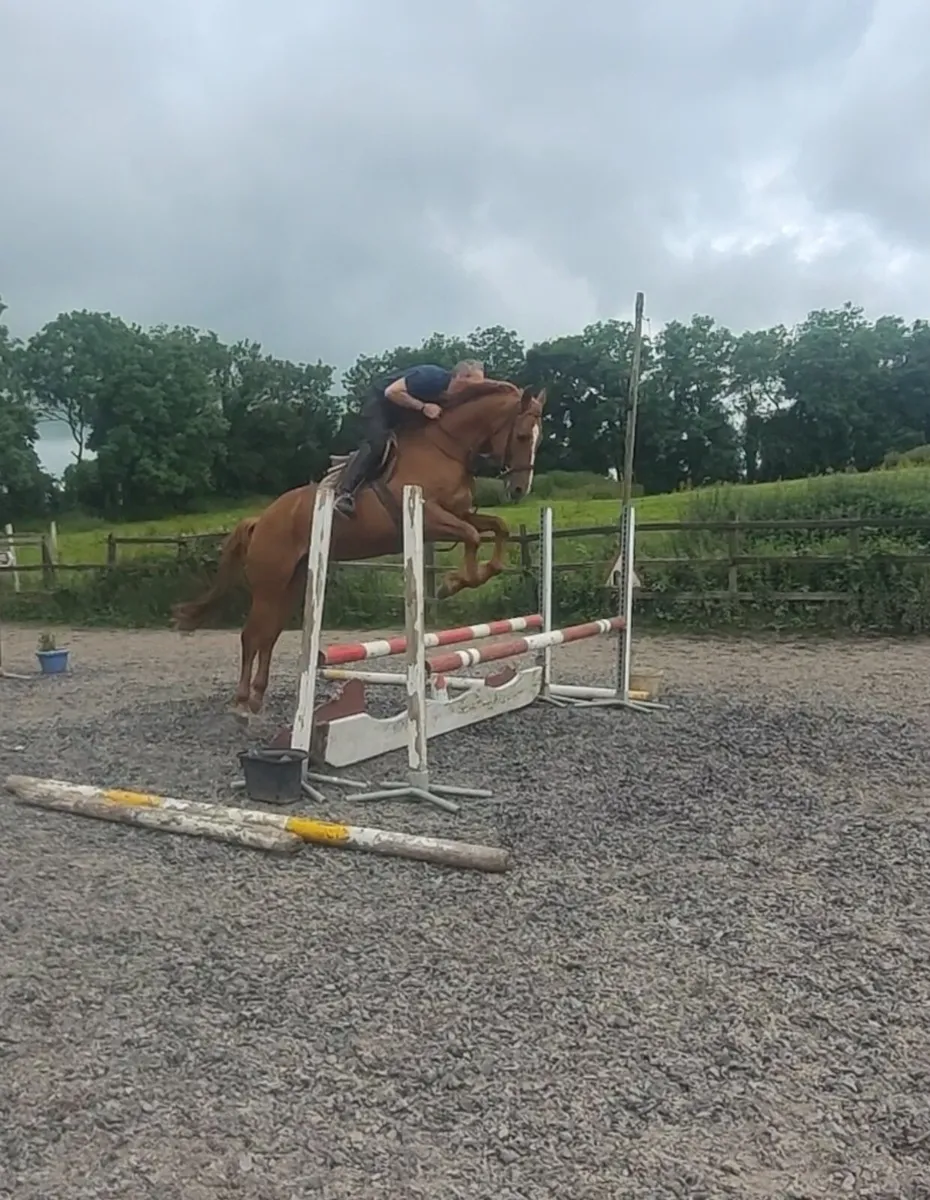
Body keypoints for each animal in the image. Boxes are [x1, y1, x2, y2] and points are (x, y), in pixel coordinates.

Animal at [172, 379, 547, 721]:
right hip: (270, 585)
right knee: (251, 636)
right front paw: (453, 583)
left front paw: (479, 573)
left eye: (538, 439)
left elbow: (498, 526)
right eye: (522, 436)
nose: (519, 489)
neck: (446, 447)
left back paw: (256, 698)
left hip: (292, 584)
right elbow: (471, 536)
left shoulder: (459, 513)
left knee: (269, 635)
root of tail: (261, 519)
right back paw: (240, 704)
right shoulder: (430, 516)